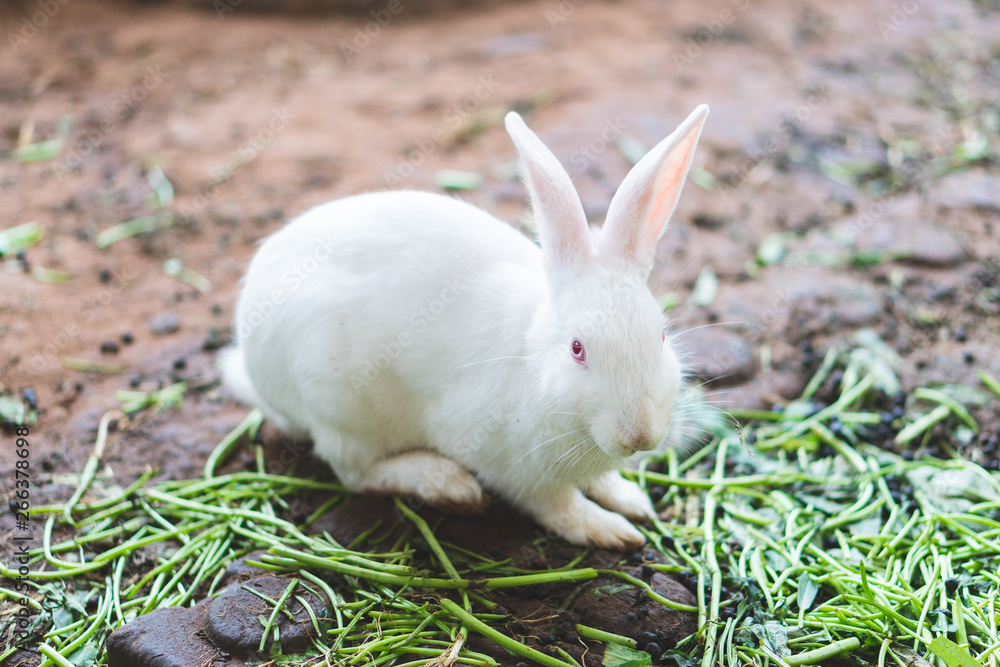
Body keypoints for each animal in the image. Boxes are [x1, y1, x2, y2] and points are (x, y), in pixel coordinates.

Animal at [220, 105, 709, 549]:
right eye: (577, 349)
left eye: (661, 335)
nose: (640, 435)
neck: (532, 359)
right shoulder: (512, 467)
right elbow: (557, 505)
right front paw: (609, 531)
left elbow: (600, 483)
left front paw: (632, 500)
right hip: (340, 406)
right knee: (355, 472)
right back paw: (448, 485)